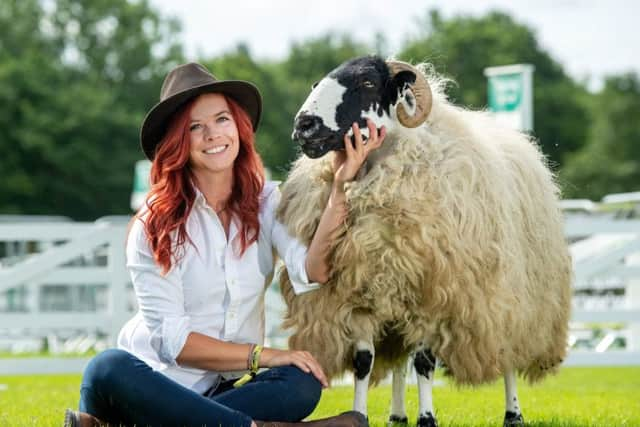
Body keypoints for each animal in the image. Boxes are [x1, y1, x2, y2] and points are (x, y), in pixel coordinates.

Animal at [278, 56, 572, 427]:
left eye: (369, 83)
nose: (304, 125)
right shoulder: (362, 295)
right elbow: (363, 363)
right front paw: (360, 414)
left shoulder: (432, 297)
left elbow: (424, 363)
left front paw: (428, 418)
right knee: (399, 361)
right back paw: (397, 414)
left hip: (512, 298)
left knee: (506, 351)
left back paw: (513, 413)